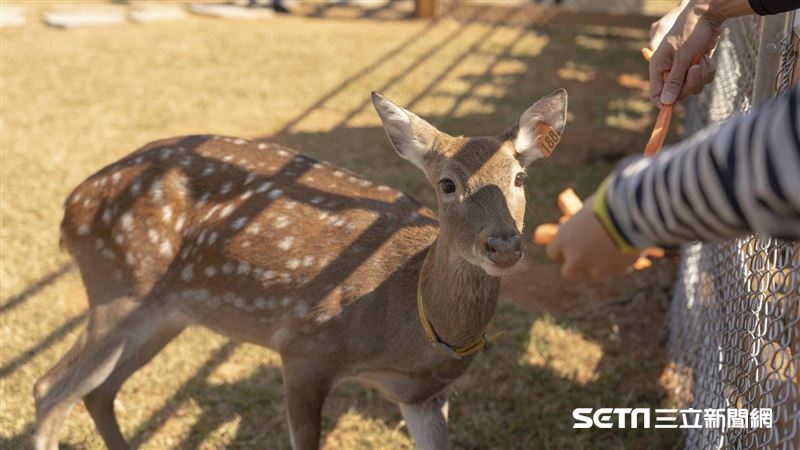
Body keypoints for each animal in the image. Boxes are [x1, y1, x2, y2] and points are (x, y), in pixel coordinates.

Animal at [33, 89, 567, 450]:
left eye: (519, 178)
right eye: (448, 184)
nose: (503, 244)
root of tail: (69, 208)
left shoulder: (425, 396)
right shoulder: (304, 348)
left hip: (164, 314)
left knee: (97, 392)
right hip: (118, 288)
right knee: (50, 388)